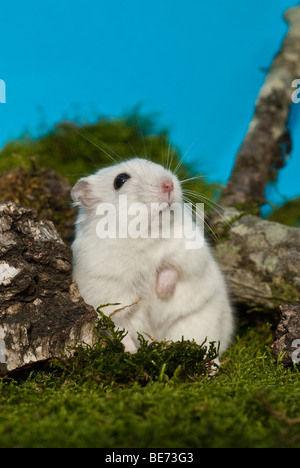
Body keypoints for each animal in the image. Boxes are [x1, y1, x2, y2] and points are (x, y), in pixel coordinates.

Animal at [71, 157, 234, 354]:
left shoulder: (189, 253)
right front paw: (131, 352)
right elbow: (117, 327)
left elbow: (171, 268)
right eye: (120, 180)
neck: (144, 235)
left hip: (198, 321)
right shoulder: (105, 292)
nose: (169, 183)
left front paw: (162, 291)